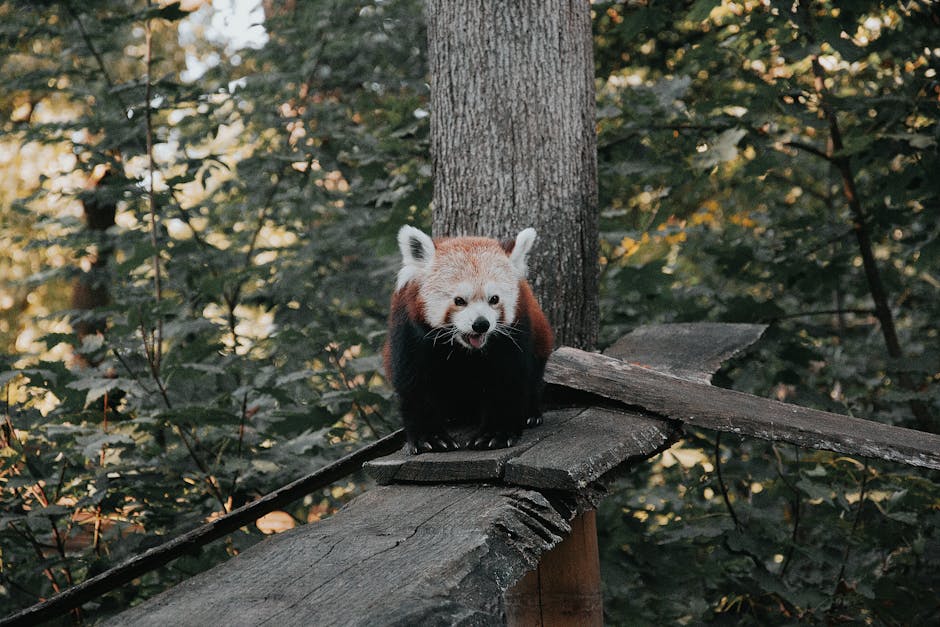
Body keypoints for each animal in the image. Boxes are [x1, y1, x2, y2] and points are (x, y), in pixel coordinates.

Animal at [383, 225, 554, 454]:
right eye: (459, 301)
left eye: (494, 299)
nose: (481, 324)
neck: (463, 350)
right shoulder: (410, 333)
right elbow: (414, 384)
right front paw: (430, 438)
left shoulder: (514, 331)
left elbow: (507, 379)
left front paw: (496, 434)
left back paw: (530, 414)